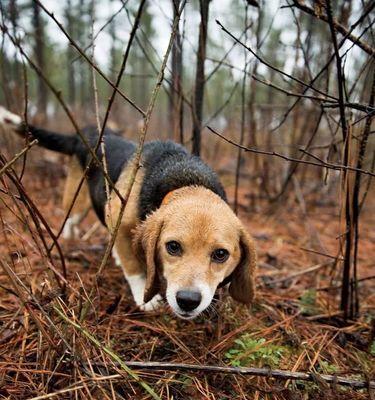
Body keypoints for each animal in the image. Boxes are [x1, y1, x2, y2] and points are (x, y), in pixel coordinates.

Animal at [0, 105, 258, 318]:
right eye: (173, 247)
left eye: (221, 254)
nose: (188, 301)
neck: (185, 179)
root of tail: (84, 134)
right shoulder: (118, 218)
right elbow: (133, 266)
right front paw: (145, 297)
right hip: (78, 201)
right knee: (73, 222)